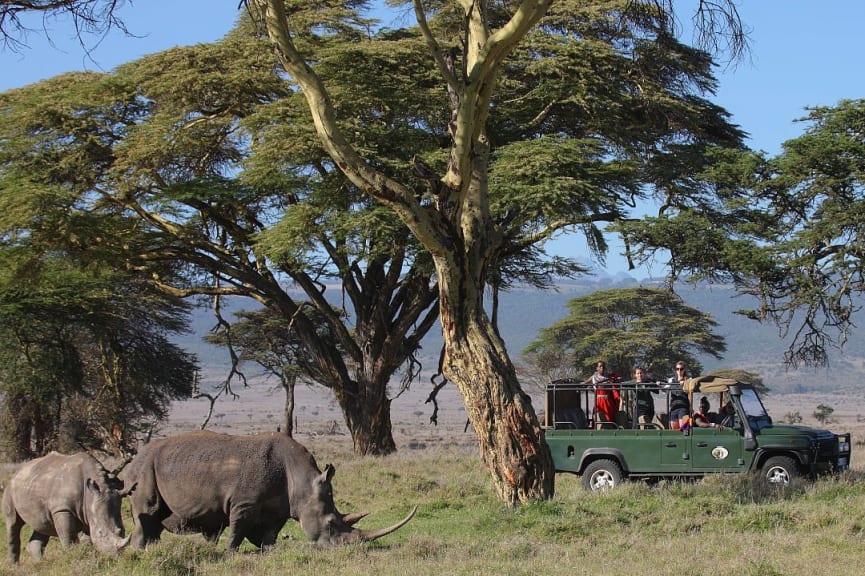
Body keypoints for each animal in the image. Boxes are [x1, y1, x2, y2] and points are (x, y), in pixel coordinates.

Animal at [2, 450, 135, 564]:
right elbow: (69, 537)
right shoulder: (62, 509)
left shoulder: (88, 511)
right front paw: (75, 558)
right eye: (100, 533)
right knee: (13, 524)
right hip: (10, 488)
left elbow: (87, 539)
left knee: (42, 525)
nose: (116, 556)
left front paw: (90, 556)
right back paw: (14, 566)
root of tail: (17, 471)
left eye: (122, 531)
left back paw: (40, 564)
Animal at [123, 432, 416, 548]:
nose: (344, 549)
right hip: (144, 470)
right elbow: (237, 531)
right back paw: (141, 552)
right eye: (331, 524)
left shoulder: (278, 508)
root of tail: (135, 458)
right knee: (147, 515)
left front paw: (269, 551)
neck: (302, 480)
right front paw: (228, 553)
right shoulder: (243, 503)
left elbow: (268, 535)